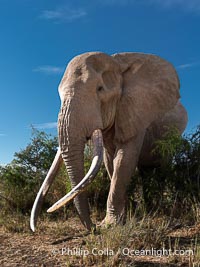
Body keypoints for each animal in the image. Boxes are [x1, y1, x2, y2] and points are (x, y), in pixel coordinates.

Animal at [30, 52, 188, 232]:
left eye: (100, 89)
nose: (93, 227)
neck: (118, 64)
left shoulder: (136, 112)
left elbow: (123, 159)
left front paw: (110, 224)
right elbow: (109, 161)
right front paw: (121, 219)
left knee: (162, 168)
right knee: (145, 173)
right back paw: (149, 210)